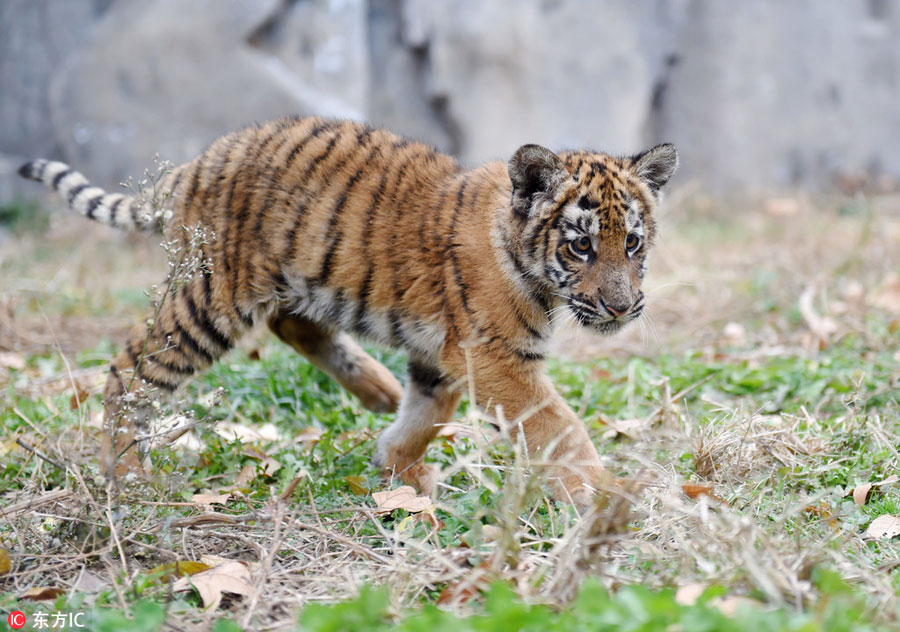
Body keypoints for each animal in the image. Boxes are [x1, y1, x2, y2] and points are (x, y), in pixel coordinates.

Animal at [19, 116, 677, 504]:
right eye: (581, 245)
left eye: (632, 243)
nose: (624, 307)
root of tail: (191, 166)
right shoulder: (495, 357)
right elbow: (559, 427)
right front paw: (607, 492)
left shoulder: (445, 352)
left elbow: (427, 411)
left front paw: (396, 467)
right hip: (211, 296)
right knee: (129, 371)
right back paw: (127, 478)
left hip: (293, 284)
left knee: (291, 324)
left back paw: (379, 391)